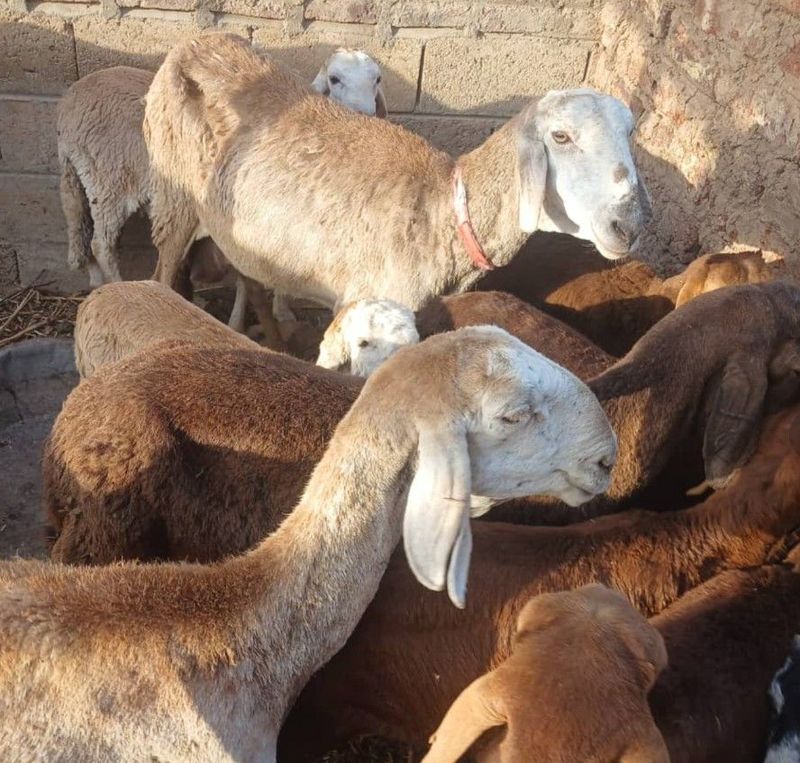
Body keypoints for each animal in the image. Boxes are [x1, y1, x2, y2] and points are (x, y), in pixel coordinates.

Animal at [144, 33, 650, 347]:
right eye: (560, 137)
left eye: (630, 133)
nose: (630, 224)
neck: (442, 211)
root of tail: (195, 40)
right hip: (173, 196)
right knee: (162, 272)